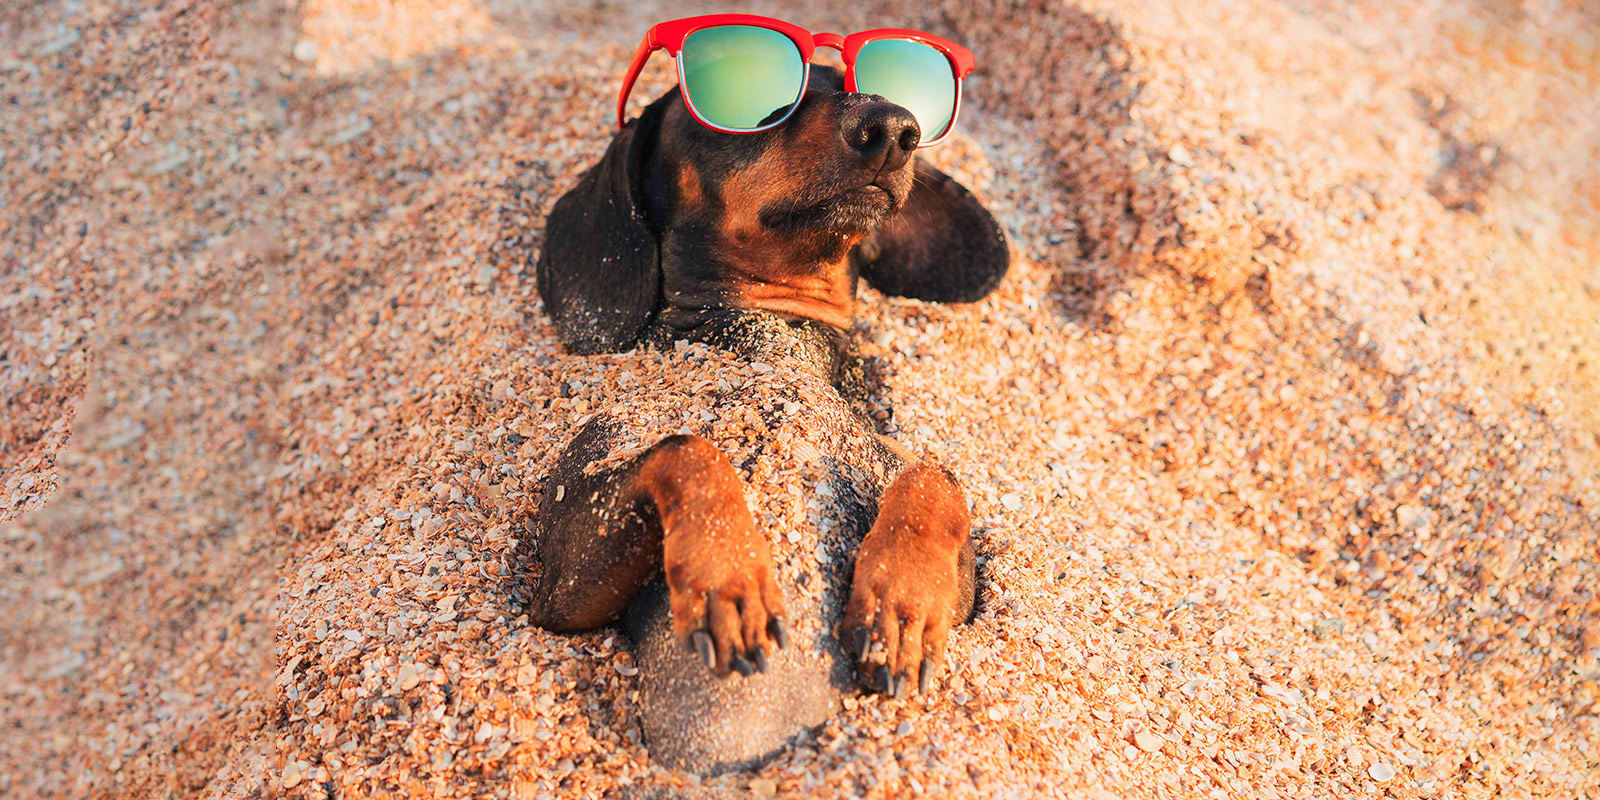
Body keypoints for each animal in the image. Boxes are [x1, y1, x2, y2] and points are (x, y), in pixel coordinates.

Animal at [531, 64, 1004, 774]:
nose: (893, 127)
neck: (775, 333)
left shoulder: (967, 582)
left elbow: (934, 478)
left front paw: (903, 605)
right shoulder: (559, 588)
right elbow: (687, 447)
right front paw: (728, 574)